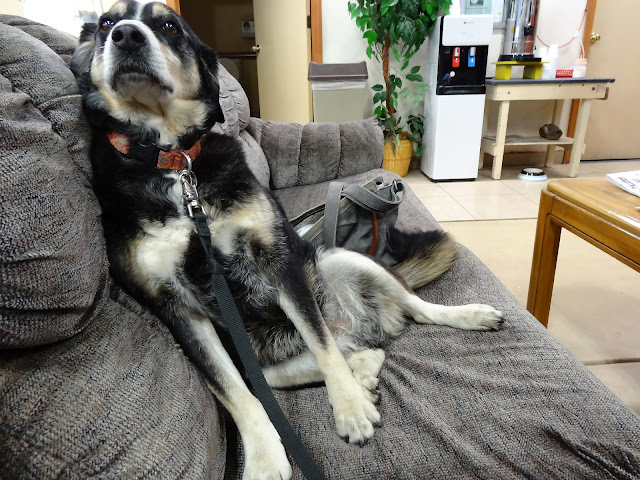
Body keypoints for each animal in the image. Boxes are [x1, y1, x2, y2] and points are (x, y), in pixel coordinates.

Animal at [71, 2, 503, 478]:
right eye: (107, 22)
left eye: (169, 25)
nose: (126, 36)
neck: (175, 167)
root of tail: (359, 324)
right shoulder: (174, 306)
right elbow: (236, 393)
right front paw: (264, 457)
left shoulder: (277, 261)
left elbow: (323, 347)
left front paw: (349, 409)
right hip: (264, 362)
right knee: (354, 353)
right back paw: (365, 373)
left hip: (339, 260)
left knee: (407, 312)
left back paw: (465, 318)